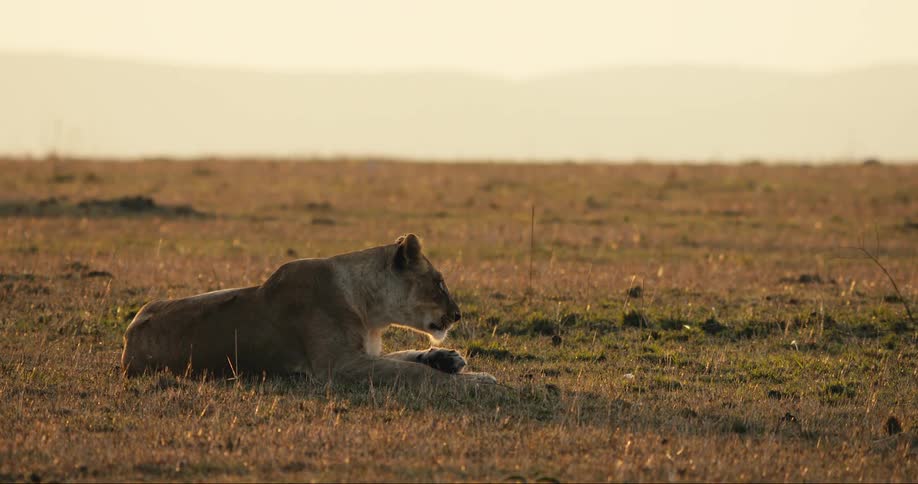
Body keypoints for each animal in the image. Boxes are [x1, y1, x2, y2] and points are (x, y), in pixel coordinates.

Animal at [120, 234, 497, 386]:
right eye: (440, 282)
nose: (458, 314)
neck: (370, 311)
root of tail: (127, 337)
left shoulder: (362, 353)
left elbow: (405, 358)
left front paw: (449, 359)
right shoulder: (339, 365)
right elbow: (414, 373)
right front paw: (479, 381)